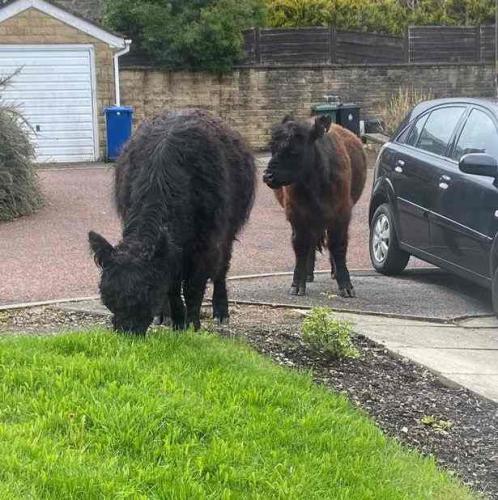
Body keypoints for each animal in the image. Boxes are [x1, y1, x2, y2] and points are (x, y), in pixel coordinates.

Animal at [88, 110, 256, 336]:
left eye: (146, 294)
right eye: (109, 299)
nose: (127, 334)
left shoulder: (205, 245)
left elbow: (194, 287)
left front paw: (192, 325)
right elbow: (173, 288)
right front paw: (177, 322)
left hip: (229, 230)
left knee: (222, 267)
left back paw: (221, 311)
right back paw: (164, 315)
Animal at [262, 114, 368, 296]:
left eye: (294, 151)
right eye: (272, 148)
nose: (268, 176)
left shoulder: (341, 214)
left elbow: (338, 245)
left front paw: (346, 285)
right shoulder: (296, 215)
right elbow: (300, 245)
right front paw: (297, 284)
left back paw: (333, 273)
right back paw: (308, 274)